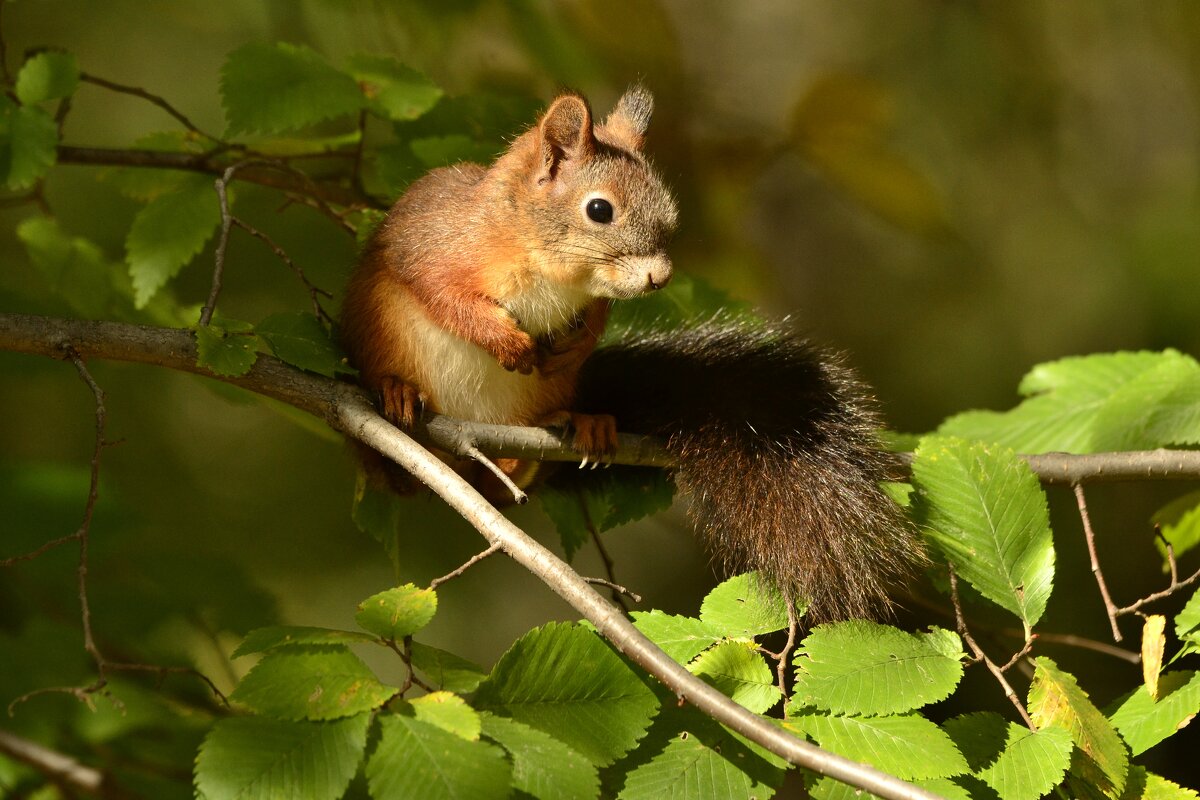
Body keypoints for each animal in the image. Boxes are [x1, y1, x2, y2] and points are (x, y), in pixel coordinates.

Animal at [343, 89, 921, 623]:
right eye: (599, 209)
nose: (660, 277)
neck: (543, 261)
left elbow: (595, 316)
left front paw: (578, 343)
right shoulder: (434, 249)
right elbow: (445, 296)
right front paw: (506, 340)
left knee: (503, 488)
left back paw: (568, 429)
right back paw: (398, 393)